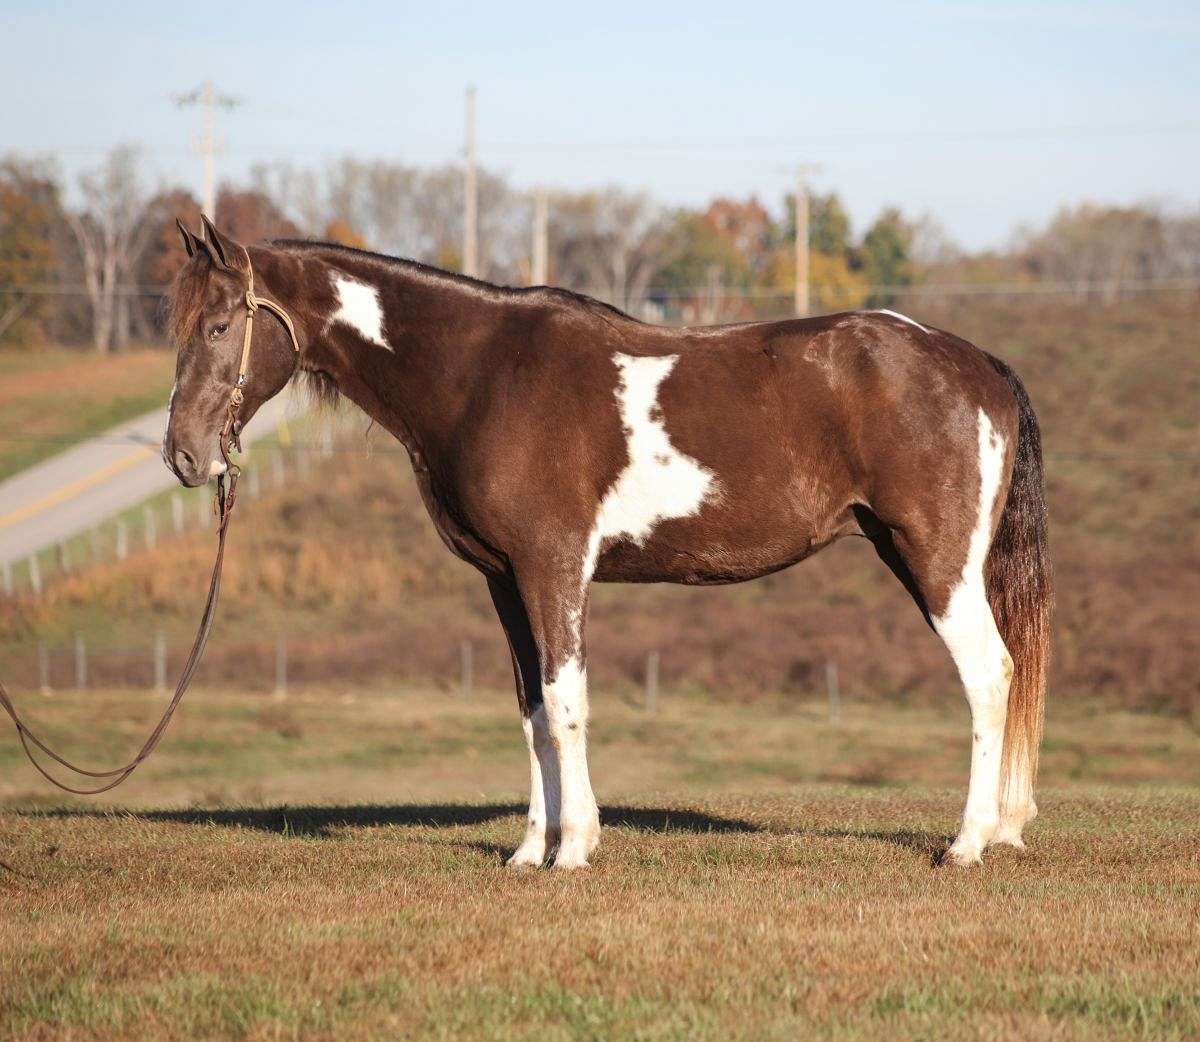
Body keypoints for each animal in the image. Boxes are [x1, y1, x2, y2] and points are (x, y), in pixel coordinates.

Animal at [164, 216, 1051, 870]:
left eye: (218, 326)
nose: (184, 456)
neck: (483, 374)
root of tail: (975, 363)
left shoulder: (553, 568)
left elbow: (566, 703)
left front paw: (574, 849)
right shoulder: (504, 580)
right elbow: (530, 710)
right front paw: (530, 850)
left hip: (935, 562)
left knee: (989, 675)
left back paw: (968, 843)